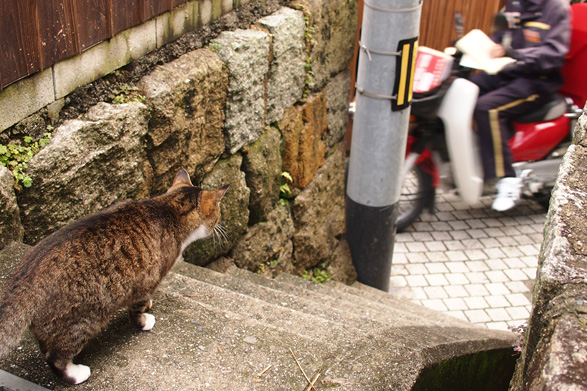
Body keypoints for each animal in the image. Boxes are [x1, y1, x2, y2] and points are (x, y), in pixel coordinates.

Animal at [0, 169, 227, 386]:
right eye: (218, 212)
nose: (219, 225)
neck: (166, 209)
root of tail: (24, 281)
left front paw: (149, 306)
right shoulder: (147, 281)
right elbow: (137, 310)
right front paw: (144, 321)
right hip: (82, 321)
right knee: (55, 356)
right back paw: (76, 374)